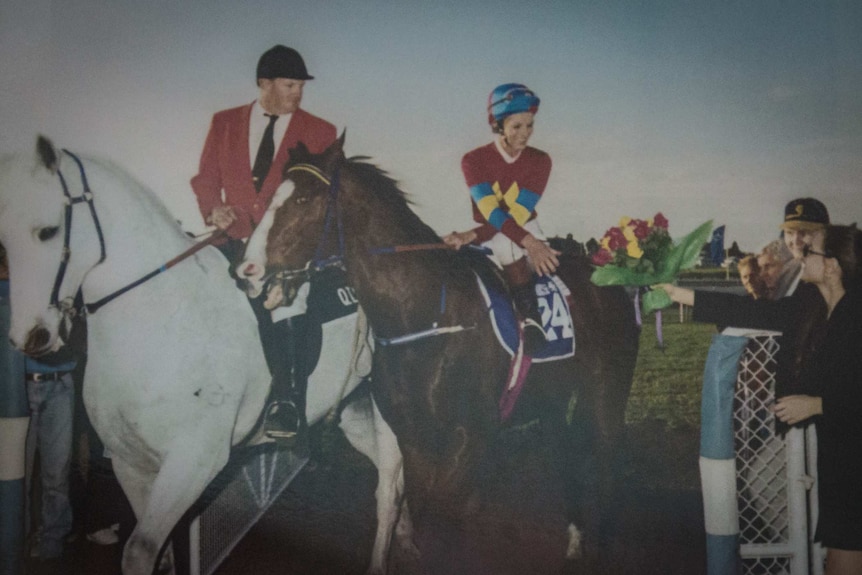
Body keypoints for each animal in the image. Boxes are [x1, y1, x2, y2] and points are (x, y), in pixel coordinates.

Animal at [0, 138, 404, 575]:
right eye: (3, 241)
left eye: (48, 231)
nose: (30, 335)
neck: (167, 317)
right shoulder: (131, 464)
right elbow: (160, 552)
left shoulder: (194, 461)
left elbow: (140, 549)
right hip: (353, 411)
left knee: (389, 493)